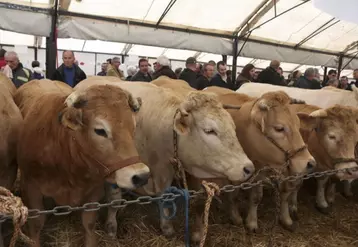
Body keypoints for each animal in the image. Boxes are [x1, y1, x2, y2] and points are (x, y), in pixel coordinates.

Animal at [14, 80, 150, 246]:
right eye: (100, 130)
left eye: (133, 127)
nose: (142, 175)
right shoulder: (30, 187)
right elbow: (36, 224)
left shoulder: (94, 191)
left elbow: (89, 224)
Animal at [74, 76, 256, 243]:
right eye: (209, 130)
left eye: (233, 127)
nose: (248, 168)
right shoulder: (114, 168)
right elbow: (115, 200)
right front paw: (111, 228)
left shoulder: (165, 169)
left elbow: (165, 199)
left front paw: (167, 227)